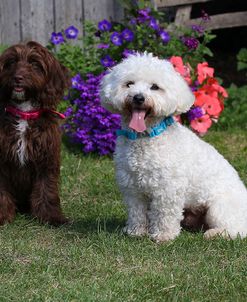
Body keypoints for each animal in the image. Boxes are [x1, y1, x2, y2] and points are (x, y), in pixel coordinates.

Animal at [0, 40, 69, 224]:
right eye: (11, 62)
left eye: (35, 64)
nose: (17, 78)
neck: (24, 113)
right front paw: (2, 216)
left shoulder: (46, 158)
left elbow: (46, 188)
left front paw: (50, 216)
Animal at [99, 51, 247, 241]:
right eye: (129, 84)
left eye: (155, 87)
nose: (138, 97)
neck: (145, 137)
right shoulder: (132, 188)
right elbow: (136, 212)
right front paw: (136, 231)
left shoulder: (167, 188)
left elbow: (165, 214)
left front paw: (163, 235)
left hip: (218, 208)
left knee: (237, 229)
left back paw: (215, 233)